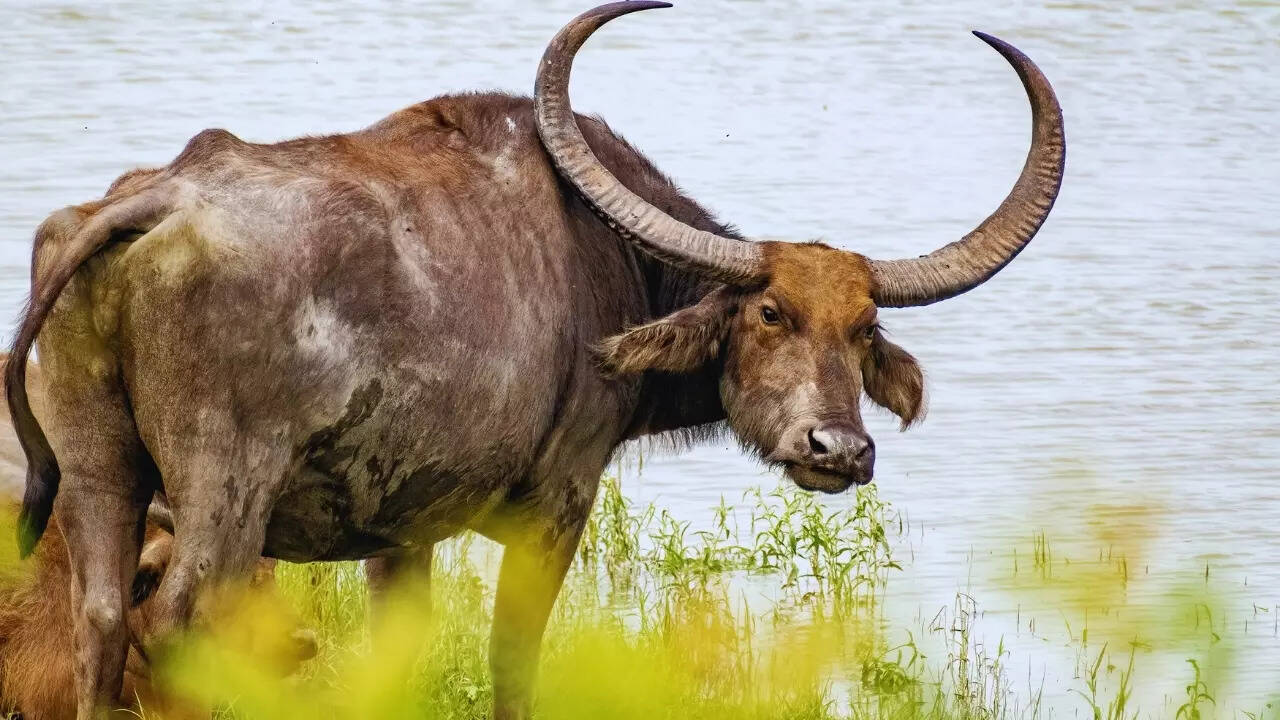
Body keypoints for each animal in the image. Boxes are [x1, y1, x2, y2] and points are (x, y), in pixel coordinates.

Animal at [5, 2, 1063, 717]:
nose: (838, 450)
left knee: (102, 620)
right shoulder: (557, 503)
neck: (606, 263)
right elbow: (512, 661)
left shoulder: (400, 530)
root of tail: (154, 201)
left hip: (99, 472)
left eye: (865, 330)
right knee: (178, 621)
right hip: (225, 492)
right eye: (771, 312)